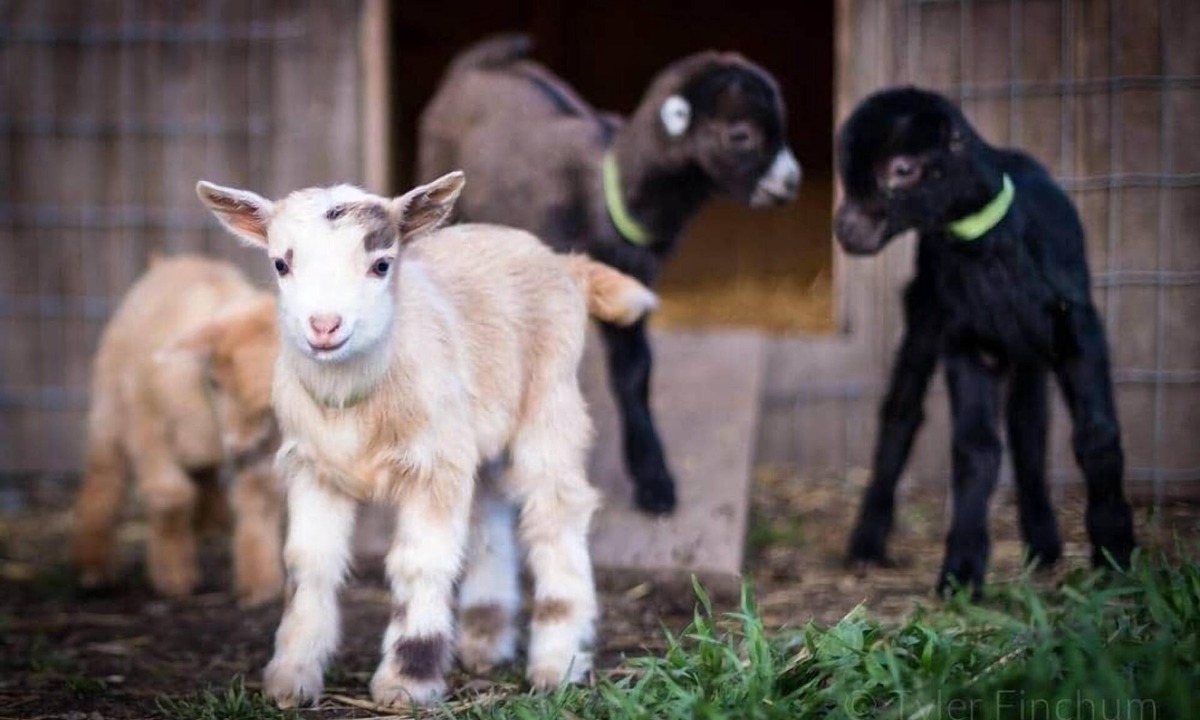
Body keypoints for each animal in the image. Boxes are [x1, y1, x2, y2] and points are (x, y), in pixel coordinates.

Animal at [71, 256, 283, 605]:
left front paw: (259, 585)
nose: (238, 448)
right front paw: (174, 580)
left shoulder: (265, 445)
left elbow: (259, 498)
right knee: (104, 478)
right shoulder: (149, 428)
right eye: (215, 382)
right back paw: (94, 569)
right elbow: (170, 498)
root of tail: (169, 262)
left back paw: (209, 526)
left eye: (271, 405)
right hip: (110, 407)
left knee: (205, 474)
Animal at [196, 171, 658, 708]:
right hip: (476, 433)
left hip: (550, 401)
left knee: (556, 512)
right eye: (280, 263)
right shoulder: (314, 468)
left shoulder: (433, 466)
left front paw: (405, 683)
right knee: (489, 511)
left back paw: (555, 662)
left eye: (381, 264)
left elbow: (419, 564)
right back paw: (484, 642)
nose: (324, 326)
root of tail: (564, 263)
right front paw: (292, 676)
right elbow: (309, 565)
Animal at [418, 34, 801, 514]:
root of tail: (475, 64)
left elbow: (634, 372)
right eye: (741, 134)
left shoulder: (632, 286)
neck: (609, 192)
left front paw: (654, 479)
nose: (791, 183)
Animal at [834, 87, 1135, 595]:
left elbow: (1097, 433)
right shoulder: (968, 342)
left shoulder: (1076, 328)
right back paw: (867, 542)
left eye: (901, 169)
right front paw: (961, 571)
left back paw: (1044, 543)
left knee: (1028, 432)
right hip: (927, 315)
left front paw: (1115, 551)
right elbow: (975, 449)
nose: (845, 230)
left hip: (1030, 353)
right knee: (901, 414)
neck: (987, 243)